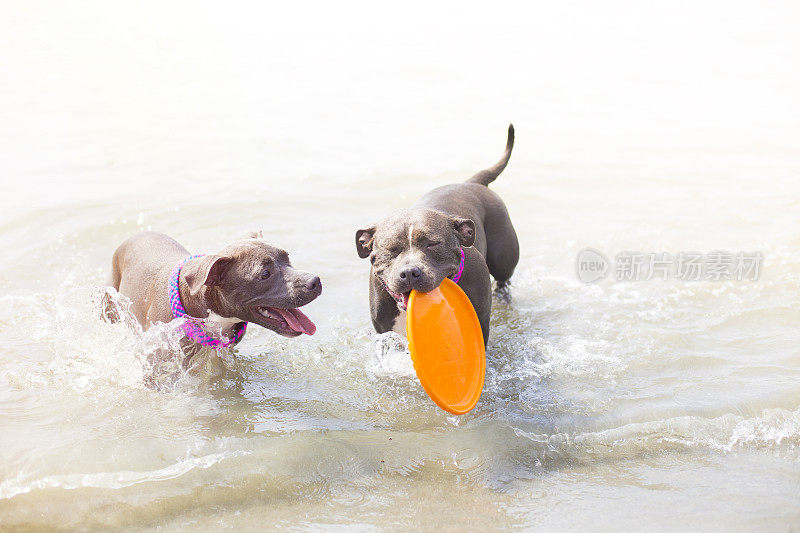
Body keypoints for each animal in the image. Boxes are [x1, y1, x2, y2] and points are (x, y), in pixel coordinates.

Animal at [354, 124, 520, 342]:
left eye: (432, 244)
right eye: (390, 249)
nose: (409, 272)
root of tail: (471, 182)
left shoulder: (481, 324)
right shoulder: (385, 332)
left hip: (503, 257)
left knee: (503, 278)